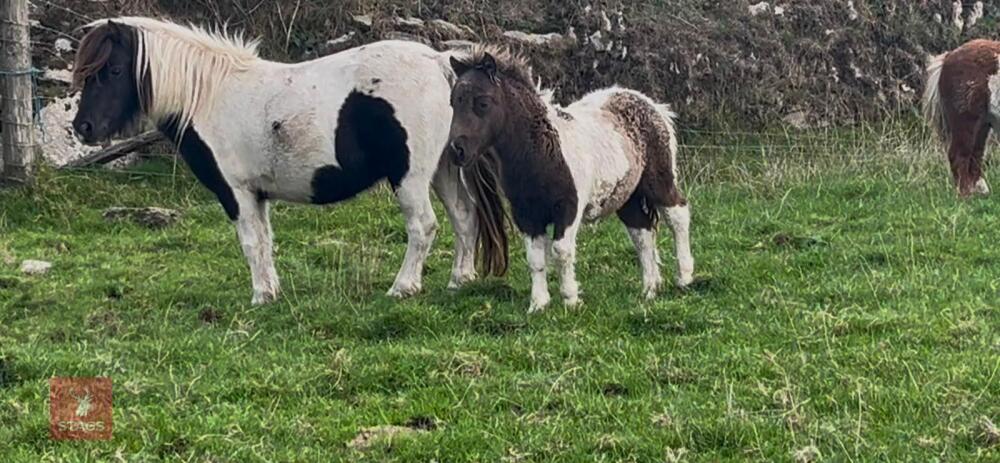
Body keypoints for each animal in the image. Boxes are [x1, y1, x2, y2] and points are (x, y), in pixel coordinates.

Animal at [71, 17, 509, 305]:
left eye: (112, 70)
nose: (83, 128)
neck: (209, 96)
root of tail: (439, 63)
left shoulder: (236, 193)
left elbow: (250, 243)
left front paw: (260, 296)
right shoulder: (257, 194)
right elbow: (265, 241)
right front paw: (271, 291)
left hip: (411, 176)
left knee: (424, 226)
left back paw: (402, 287)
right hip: (444, 169)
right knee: (464, 217)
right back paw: (459, 280)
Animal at [445, 47, 694, 313]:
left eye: (482, 102)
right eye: (453, 102)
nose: (456, 151)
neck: (542, 150)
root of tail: (654, 106)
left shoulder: (568, 207)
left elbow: (561, 251)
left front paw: (570, 300)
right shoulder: (526, 215)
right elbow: (535, 258)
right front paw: (538, 304)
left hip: (659, 182)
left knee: (678, 215)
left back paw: (684, 277)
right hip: (628, 196)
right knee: (642, 234)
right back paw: (649, 290)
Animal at [922, 39, 1000, 197]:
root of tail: (949, 56)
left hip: (982, 123)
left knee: (975, 154)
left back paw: (980, 191)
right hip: (966, 119)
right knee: (959, 154)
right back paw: (966, 195)